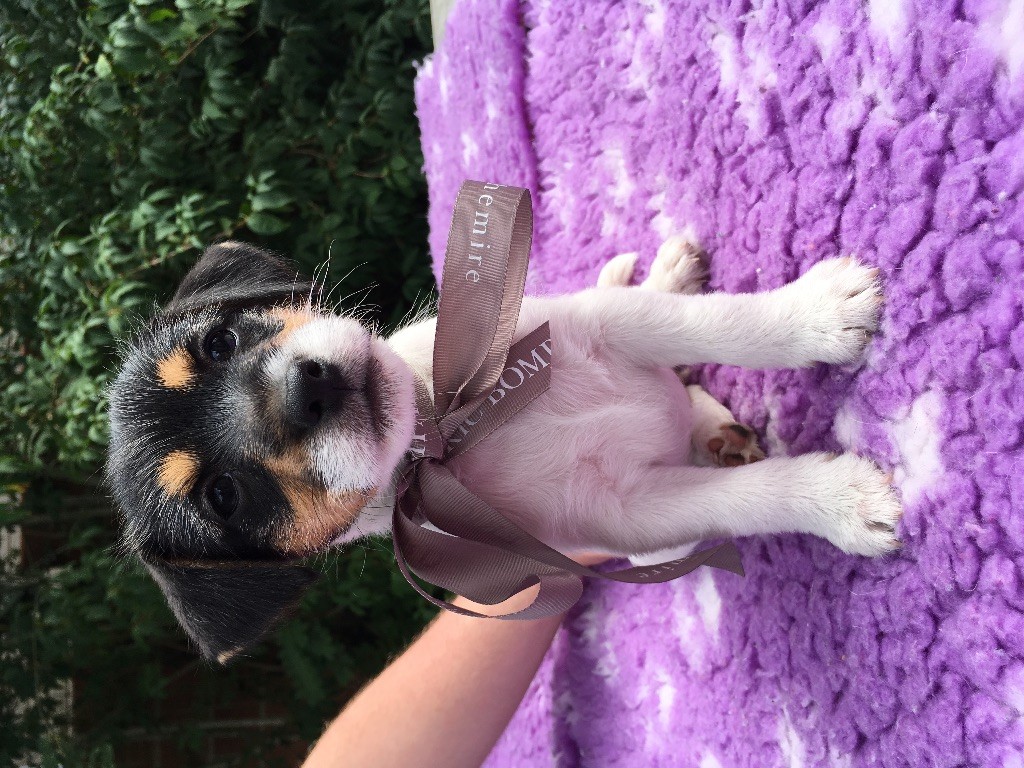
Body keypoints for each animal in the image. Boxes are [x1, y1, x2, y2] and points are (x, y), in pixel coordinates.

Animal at [107, 236, 901, 663]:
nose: (311, 391)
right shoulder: (637, 516)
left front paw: (818, 312)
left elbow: (722, 324)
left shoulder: (606, 323)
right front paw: (842, 503)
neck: (445, 429)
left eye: (219, 341)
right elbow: (746, 503)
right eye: (223, 496)